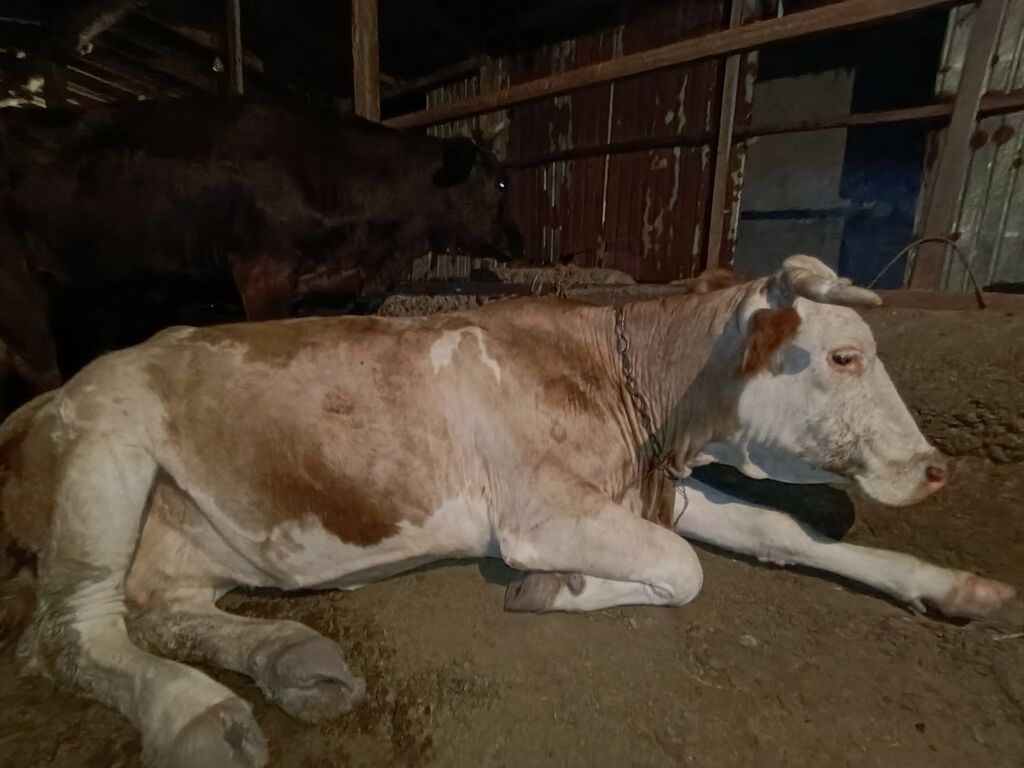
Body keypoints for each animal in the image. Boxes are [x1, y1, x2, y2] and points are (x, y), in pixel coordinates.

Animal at [0, 256, 1016, 768]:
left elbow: (777, 530)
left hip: (181, 530)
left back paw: (293, 659)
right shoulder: (541, 513)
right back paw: (197, 715)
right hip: (106, 457)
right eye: (844, 356)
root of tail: (49, 396)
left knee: (157, 608)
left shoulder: (647, 487)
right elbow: (681, 570)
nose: (935, 470)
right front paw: (557, 590)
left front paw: (949, 585)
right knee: (69, 631)